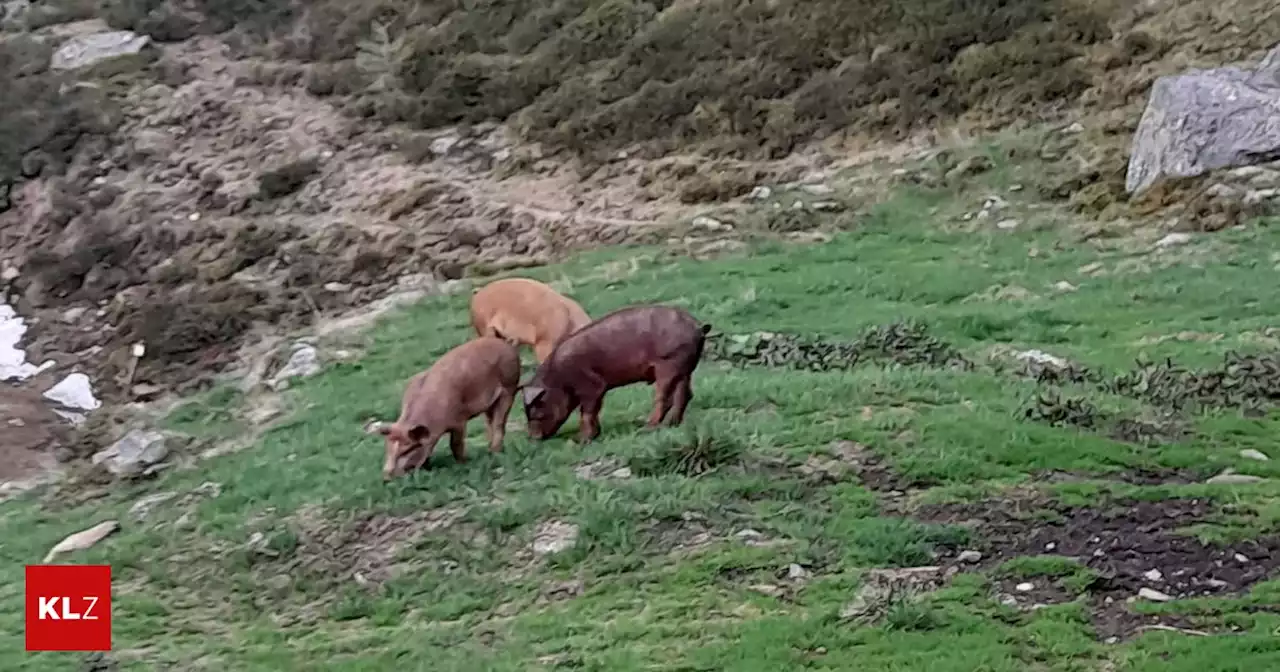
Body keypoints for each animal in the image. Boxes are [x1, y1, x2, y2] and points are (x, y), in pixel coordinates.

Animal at [366, 337, 519, 478]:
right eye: (387, 447)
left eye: (407, 450)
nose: (386, 477)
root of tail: (506, 344)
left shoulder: (459, 420)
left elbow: (455, 444)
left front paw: (463, 463)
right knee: (490, 421)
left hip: (509, 387)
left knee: (499, 423)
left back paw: (495, 451)